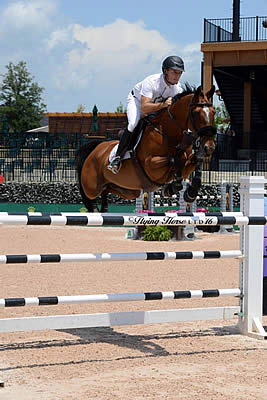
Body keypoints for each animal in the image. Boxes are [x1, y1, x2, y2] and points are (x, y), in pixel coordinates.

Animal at [75, 84, 218, 212]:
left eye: (213, 112)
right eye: (196, 113)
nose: (209, 147)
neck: (168, 133)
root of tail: (95, 148)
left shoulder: (186, 164)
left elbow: (195, 161)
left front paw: (190, 193)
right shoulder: (151, 165)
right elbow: (174, 160)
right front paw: (173, 187)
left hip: (128, 190)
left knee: (107, 190)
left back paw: (104, 208)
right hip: (92, 187)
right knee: (91, 198)